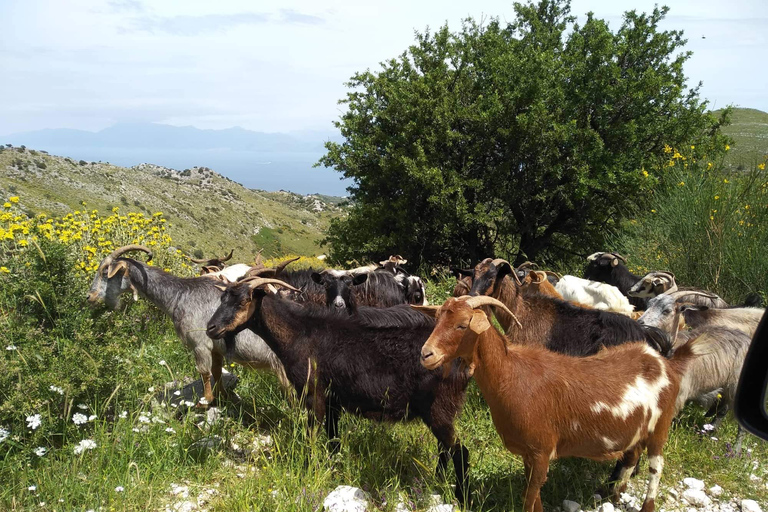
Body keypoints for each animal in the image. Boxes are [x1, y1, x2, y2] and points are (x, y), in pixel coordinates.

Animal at [88, 246, 292, 406]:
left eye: (105, 272)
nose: (90, 296)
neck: (180, 294)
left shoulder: (199, 343)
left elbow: (204, 372)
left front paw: (204, 402)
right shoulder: (215, 348)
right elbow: (216, 371)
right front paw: (222, 397)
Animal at [210, 278, 472, 502]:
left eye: (242, 301)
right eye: (222, 299)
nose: (211, 328)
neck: (300, 333)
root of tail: (464, 362)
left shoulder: (313, 392)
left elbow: (312, 435)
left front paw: (310, 469)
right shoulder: (332, 400)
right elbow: (332, 437)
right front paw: (333, 468)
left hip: (438, 408)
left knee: (460, 452)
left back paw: (462, 497)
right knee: (444, 449)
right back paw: (436, 482)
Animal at [416, 294, 712, 512]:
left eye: (462, 325)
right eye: (438, 319)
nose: (426, 354)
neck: (511, 375)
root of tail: (662, 361)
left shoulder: (542, 450)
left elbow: (529, 499)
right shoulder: (531, 453)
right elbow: (534, 498)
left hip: (661, 425)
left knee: (656, 466)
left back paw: (645, 505)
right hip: (638, 428)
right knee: (632, 456)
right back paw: (615, 495)